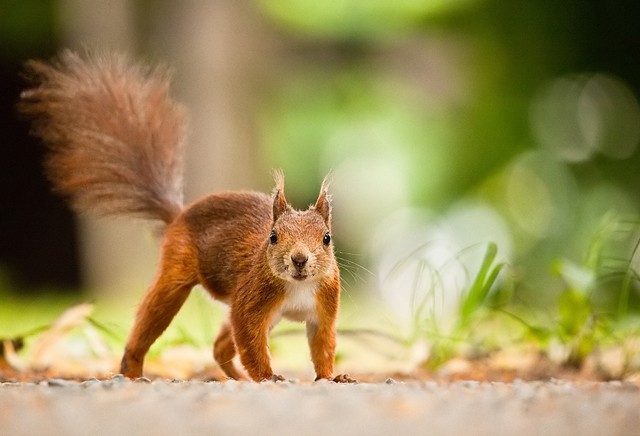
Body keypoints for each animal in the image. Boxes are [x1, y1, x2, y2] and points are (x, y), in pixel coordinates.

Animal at [18, 51, 356, 384]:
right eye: (273, 237)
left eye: (327, 239)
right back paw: (133, 371)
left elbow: (323, 345)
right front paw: (267, 376)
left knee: (220, 346)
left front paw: (332, 377)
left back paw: (234, 376)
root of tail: (179, 215)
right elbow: (249, 340)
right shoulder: (251, 301)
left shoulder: (324, 308)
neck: (298, 286)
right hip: (176, 274)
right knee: (151, 325)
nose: (299, 259)